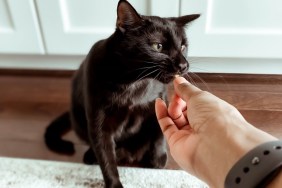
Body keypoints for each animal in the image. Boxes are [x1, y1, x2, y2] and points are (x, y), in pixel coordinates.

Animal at [44, 0, 198, 187]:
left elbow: (159, 132)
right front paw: (115, 184)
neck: (134, 83)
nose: (183, 65)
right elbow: (106, 159)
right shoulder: (99, 124)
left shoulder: (160, 99)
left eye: (183, 46)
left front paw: (157, 159)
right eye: (158, 46)